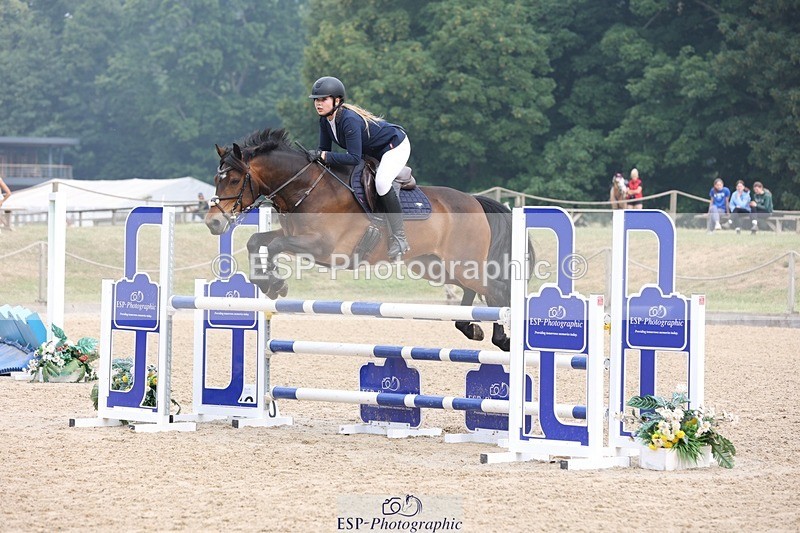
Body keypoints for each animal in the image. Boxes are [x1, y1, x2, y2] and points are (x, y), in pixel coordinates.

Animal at [205, 129, 531, 351]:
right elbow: (256, 241)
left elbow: (272, 246)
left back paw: (504, 339)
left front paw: (276, 283)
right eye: (216, 179)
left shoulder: (322, 247)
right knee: (476, 290)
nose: (213, 222)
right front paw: (266, 281)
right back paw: (471, 327)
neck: (306, 188)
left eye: (234, 180)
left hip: (461, 262)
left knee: (496, 289)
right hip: (435, 266)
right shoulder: (294, 236)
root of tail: (475, 200)